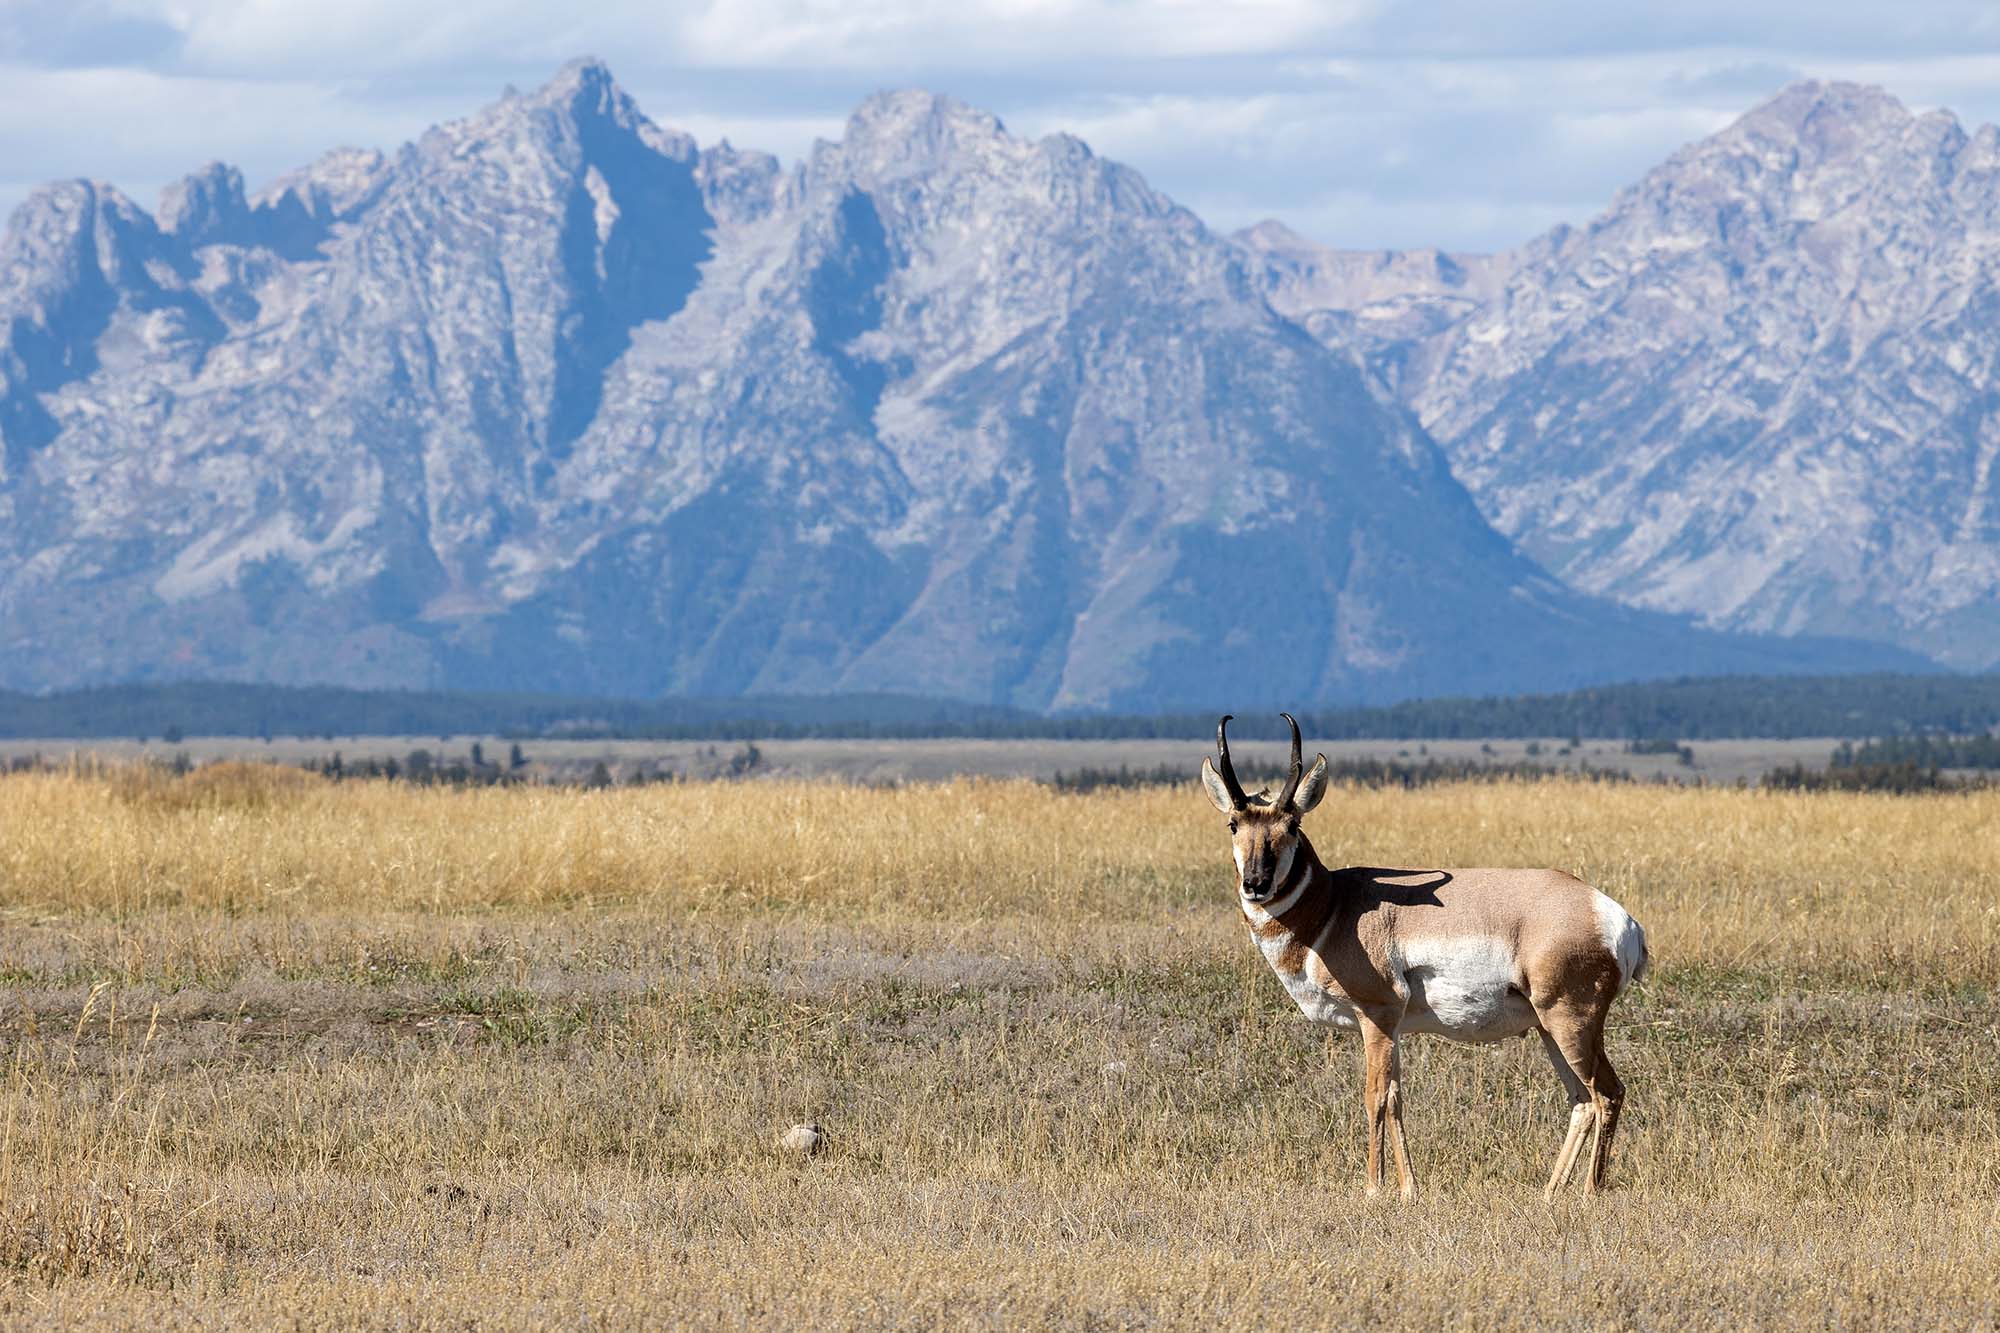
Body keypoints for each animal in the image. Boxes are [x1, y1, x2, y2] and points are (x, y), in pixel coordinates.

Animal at [1201, 714, 1647, 1200]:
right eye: (1233, 824)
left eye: (1293, 824)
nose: (1256, 884)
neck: (1335, 905)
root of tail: (1612, 915)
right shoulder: (1393, 1028)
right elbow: (1397, 1098)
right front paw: (1408, 1189)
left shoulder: (1376, 1018)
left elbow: (1375, 1097)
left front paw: (1373, 1189)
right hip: (1549, 1030)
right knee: (1582, 1100)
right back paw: (1550, 1193)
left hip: (1571, 1024)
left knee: (1608, 1092)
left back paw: (1588, 1192)